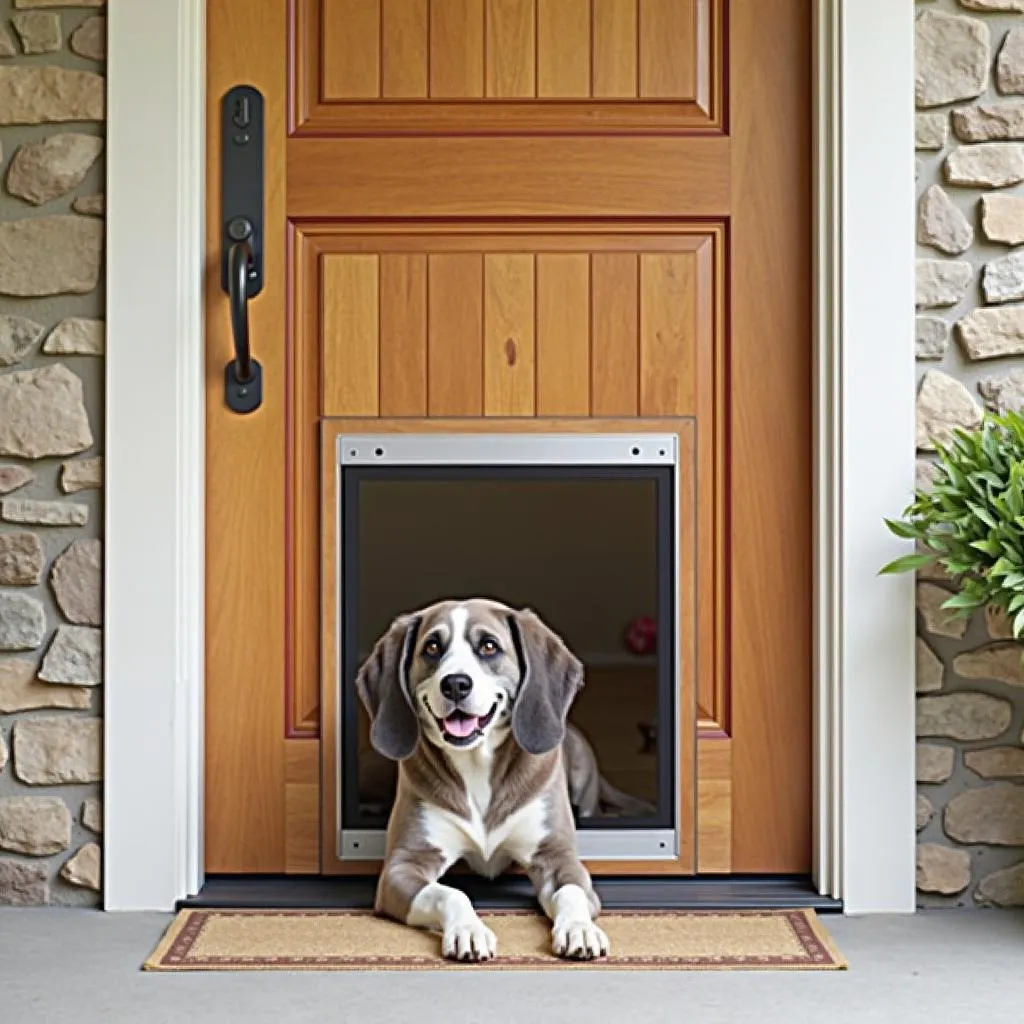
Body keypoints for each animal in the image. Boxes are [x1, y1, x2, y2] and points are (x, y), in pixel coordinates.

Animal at [358, 598, 610, 962]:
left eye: (489, 646)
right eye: (432, 647)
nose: (455, 683)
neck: (476, 763)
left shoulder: (557, 856)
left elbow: (572, 892)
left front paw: (580, 928)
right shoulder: (403, 866)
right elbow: (451, 893)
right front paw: (469, 929)